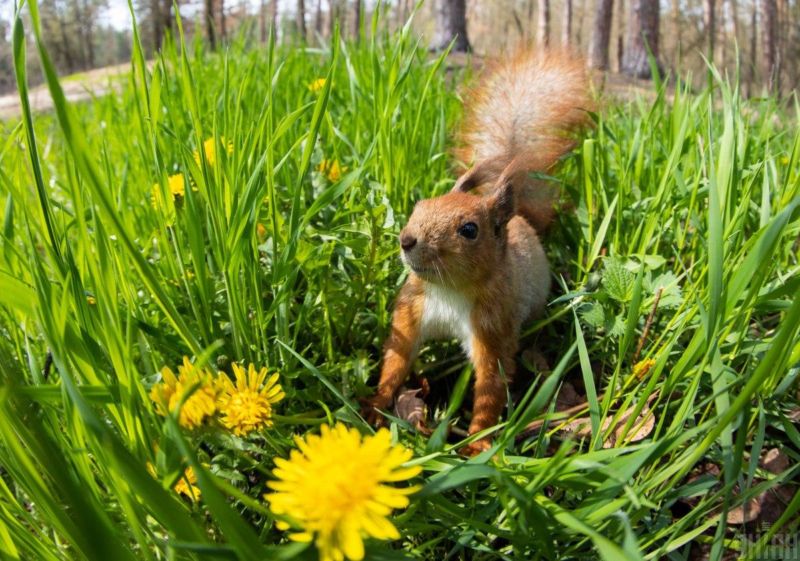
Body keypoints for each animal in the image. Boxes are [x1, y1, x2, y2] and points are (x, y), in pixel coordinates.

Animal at [362, 49, 592, 456]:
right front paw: (376, 405)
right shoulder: (412, 310)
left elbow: (490, 386)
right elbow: (396, 359)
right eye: (419, 207)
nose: (407, 239)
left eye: (469, 230)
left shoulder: (493, 326)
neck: (449, 291)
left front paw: (476, 445)